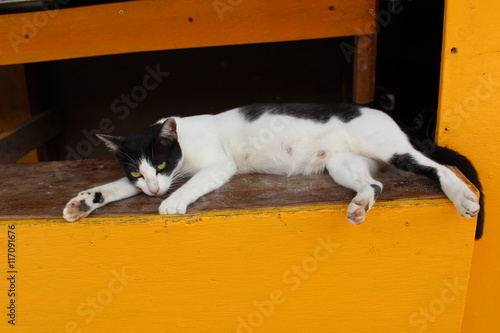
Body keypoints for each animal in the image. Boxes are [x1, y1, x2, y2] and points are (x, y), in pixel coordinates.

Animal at [62, 102, 480, 228]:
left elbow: (192, 183)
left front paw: (173, 202)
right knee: (374, 185)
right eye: (137, 171)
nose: (152, 188)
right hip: (343, 164)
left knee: (438, 168)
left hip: (390, 148)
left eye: (162, 163)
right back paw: (360, 204)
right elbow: (115, 187)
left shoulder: (219, 165)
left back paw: (462, 197)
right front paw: (84, 201)